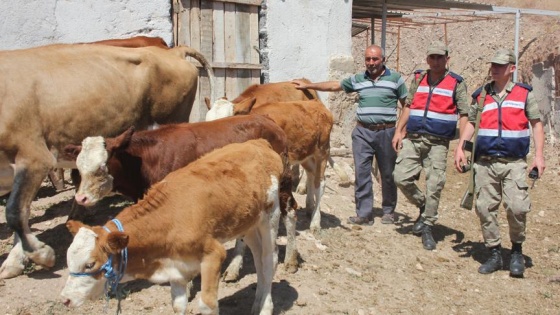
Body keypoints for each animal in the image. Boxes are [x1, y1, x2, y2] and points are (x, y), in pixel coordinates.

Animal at [0, 42, 214, 278]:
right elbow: (22, 212)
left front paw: (40, 254)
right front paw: (16, 261)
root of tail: (172, 51)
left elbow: (15, 212)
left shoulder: (35, 158)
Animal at [60, 139, 288, 314]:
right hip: (248, 224)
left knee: (269, 260)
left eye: (90, 264)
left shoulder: (214, 254)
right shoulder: (177, 268)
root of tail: (258, 143)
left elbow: (207, 305)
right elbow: (178, 306)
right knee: (258, 259)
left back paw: (265, 307)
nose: (65, 300)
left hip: (271, 215)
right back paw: (257, 304)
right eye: (69, 260)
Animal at [208, 100, 334, 233]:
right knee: (311, 174)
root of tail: (316, 103)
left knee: (320, 184)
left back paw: (315, 222)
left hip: (322, 151)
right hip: (306, 154)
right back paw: (310, 207)